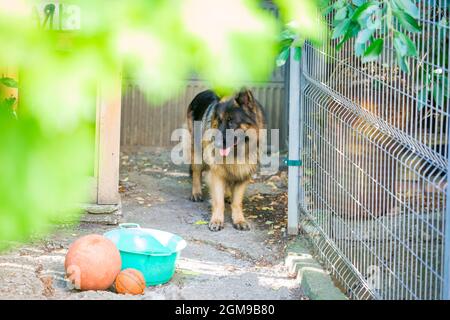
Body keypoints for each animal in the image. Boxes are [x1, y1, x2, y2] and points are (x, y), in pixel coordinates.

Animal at [185, 89, 264, 231]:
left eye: (231, 122)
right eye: (219, 121)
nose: (215, 143)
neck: (237, 152)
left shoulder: (243, 174)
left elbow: (237, 202)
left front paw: (239, 220)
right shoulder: (216, 173)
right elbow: (218, 201)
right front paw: (216, 220)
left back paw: (227, 194)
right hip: (198, 151)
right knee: (196, 172)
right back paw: (196, 193)